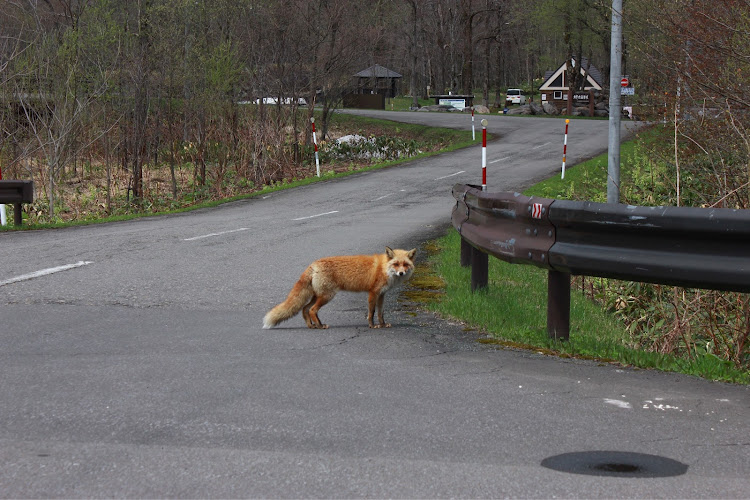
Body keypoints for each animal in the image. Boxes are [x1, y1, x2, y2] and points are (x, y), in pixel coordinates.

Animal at [262, 245, 418, 328]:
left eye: (405, 264)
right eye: (396, 264)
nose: (401, 273)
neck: (383, 268)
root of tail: (313, 264)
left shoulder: (382, 294)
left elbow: (380, 313)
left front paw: (383, 325)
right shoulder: (373, 293)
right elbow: (371, 313)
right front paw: (372, 326)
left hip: (318, 295)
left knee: (305, 309)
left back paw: (312, 326)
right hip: (327, 296)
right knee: (312, 310)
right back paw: (320, 326)